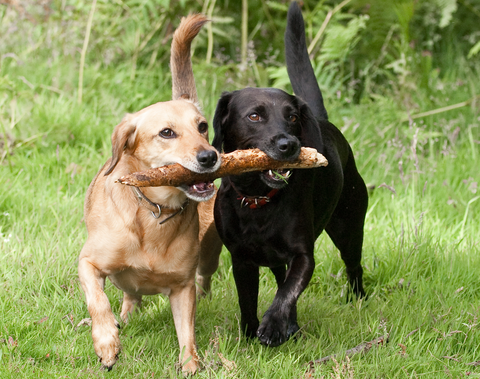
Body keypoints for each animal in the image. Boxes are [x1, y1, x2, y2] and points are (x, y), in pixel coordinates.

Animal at [211, 1, 368, 348]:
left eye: (293, 117)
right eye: (254, 116)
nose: (289, 144)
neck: (258, 200)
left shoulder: (302, 255)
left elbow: (286, 294)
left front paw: (272, 326)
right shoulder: (241, 260)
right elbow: (248, 300)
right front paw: (248, 335)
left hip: (349, 229)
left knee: (354, 266)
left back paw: (356, 299)